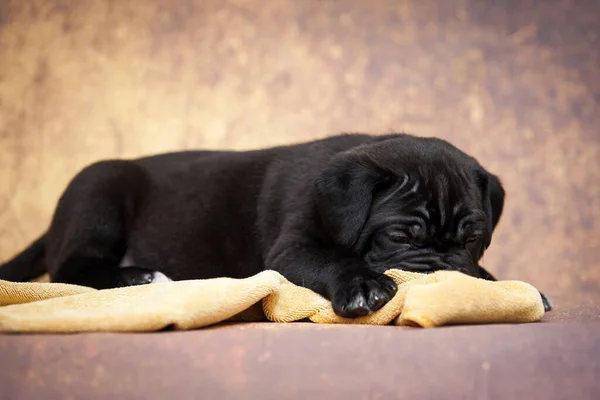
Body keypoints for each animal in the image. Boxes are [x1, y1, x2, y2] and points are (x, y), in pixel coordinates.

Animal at [0, 134, 552, 316]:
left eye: (474, 240)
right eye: (399, 237)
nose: (442, 269)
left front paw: (508, 285)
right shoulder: (296, 250)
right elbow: (335, 259)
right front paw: (362, 285)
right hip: (101, 192)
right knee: (72, 268)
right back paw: (139, 277)